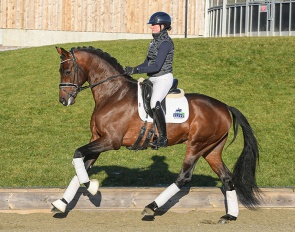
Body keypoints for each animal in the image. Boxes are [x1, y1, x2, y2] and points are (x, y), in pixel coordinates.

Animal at [51, 45, 262, 223]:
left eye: (68, 71)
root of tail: (224, 106)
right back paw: (230, 216)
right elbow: (81, 164)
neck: (113, 94)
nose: (63, 100)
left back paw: (151, 207)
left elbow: (78, 154)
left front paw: (92, 187)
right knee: (227, 178)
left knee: (184, 177)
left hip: (196, 145)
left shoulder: (111, 141)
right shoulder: (97, 139)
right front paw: (61, 203)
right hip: (212, 149)